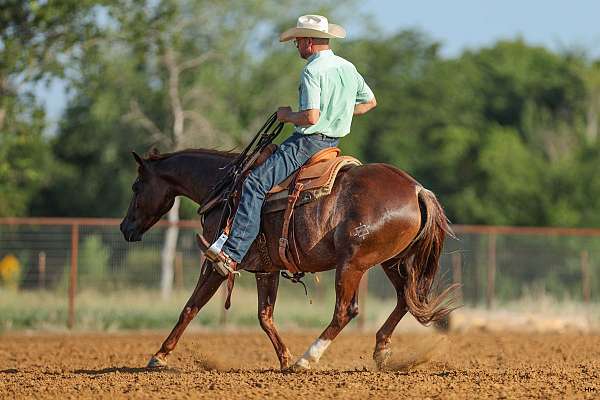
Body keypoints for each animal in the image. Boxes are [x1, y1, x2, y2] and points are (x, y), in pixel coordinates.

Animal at [120, 147, 454, 372]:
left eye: (136, 186)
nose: (125, 228)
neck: (226, 190)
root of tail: (416, 189)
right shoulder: (265, 269)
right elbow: (264, 316)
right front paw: (283, 358)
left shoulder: (216, 264)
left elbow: (190, 307)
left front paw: (159, 355)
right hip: (393, 262)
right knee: (405, 299)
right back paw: (380, 350)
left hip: (352, 264)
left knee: (345, 311)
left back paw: (308, 359)